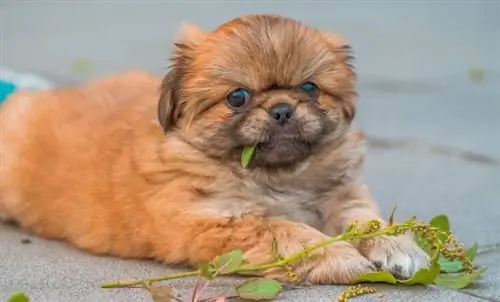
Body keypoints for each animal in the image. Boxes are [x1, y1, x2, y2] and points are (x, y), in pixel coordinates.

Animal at [0, 13, 430, 284]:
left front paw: (396, 246)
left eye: (310, 88)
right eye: (237, 97)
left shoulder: (344, 197)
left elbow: (368, 221)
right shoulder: (215, 220)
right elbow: (288, 230)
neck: (278, 176)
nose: (282, 108)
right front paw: (339, 257)